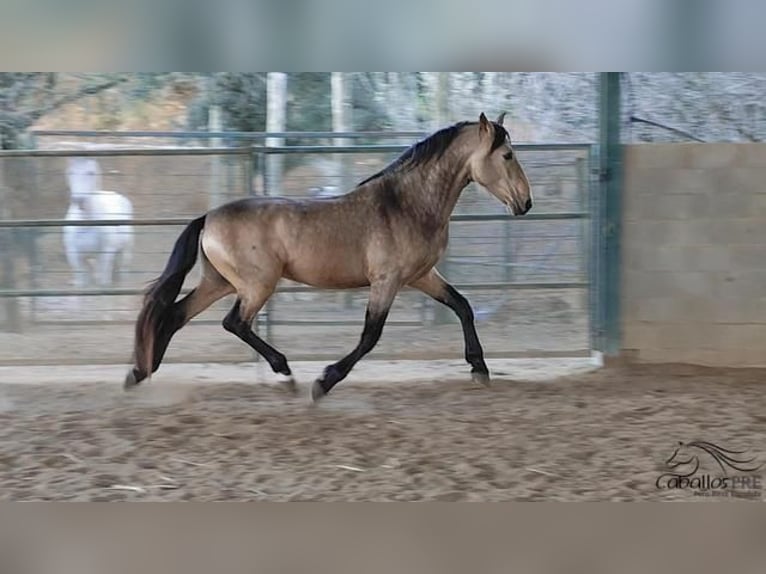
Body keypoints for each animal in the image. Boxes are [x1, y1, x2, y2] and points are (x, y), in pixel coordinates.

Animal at [64, 158, 135, 288]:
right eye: (70, 172)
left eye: (91, 173)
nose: (78, 200)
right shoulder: (75, 257)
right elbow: (82, 283)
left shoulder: (106, 254)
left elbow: (103, 283)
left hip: (126, 250)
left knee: (123, 271)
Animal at [126, 111, 536, 400]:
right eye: (507, 154)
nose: (526, 203)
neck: (405, 204)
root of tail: (208, 218)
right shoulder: (386, 281)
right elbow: (370, 336)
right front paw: (324, 382)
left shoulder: (421, 276)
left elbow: (462, 306)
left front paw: (480, 369)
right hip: (257, 285)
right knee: (234, 323)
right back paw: (285, 373)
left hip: (220, 282)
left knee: (176, 315)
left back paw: (139, 373)